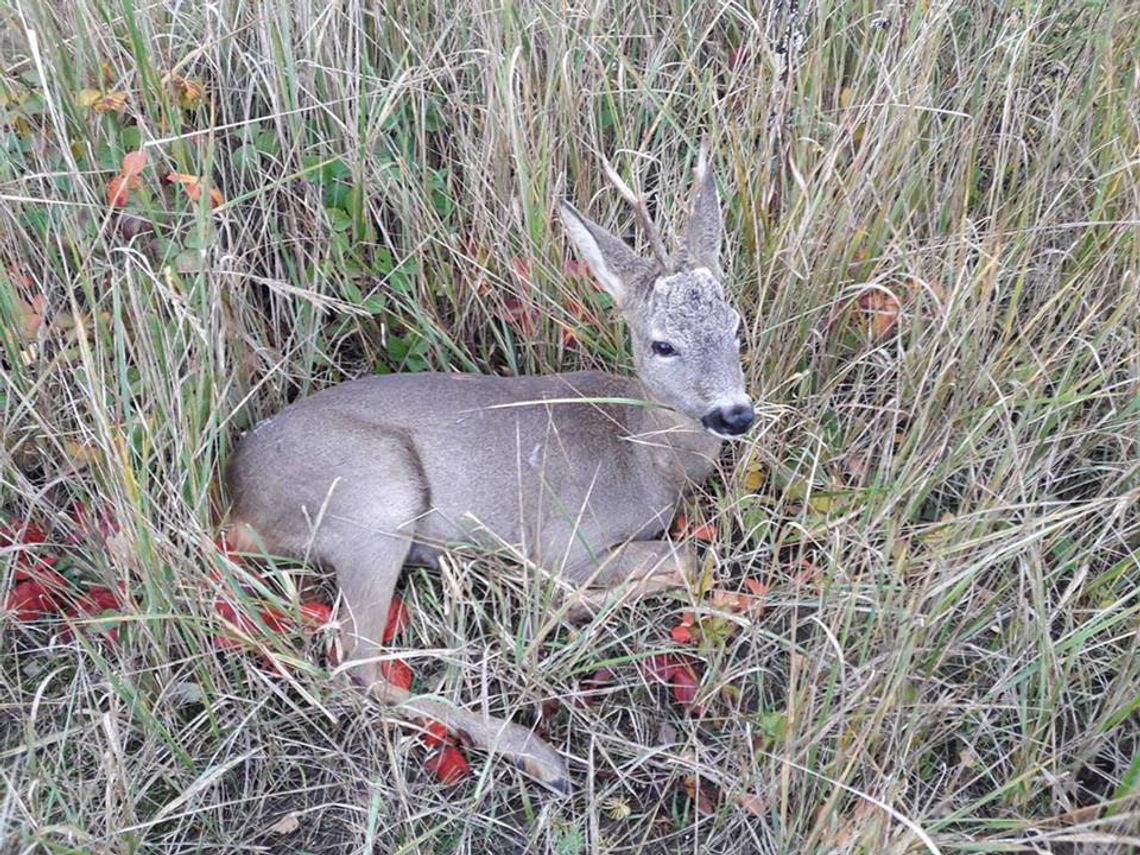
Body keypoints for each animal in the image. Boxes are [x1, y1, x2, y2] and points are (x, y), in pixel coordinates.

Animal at [225, 147, 752, 798]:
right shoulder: (565, 541)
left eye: (735, 325)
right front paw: (566, 604)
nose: (734, 413)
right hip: (377, 496)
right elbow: (687, 556)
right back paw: (538, 756)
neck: (646, 453)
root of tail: (237, 496)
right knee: (355, 661)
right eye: (662, 345)